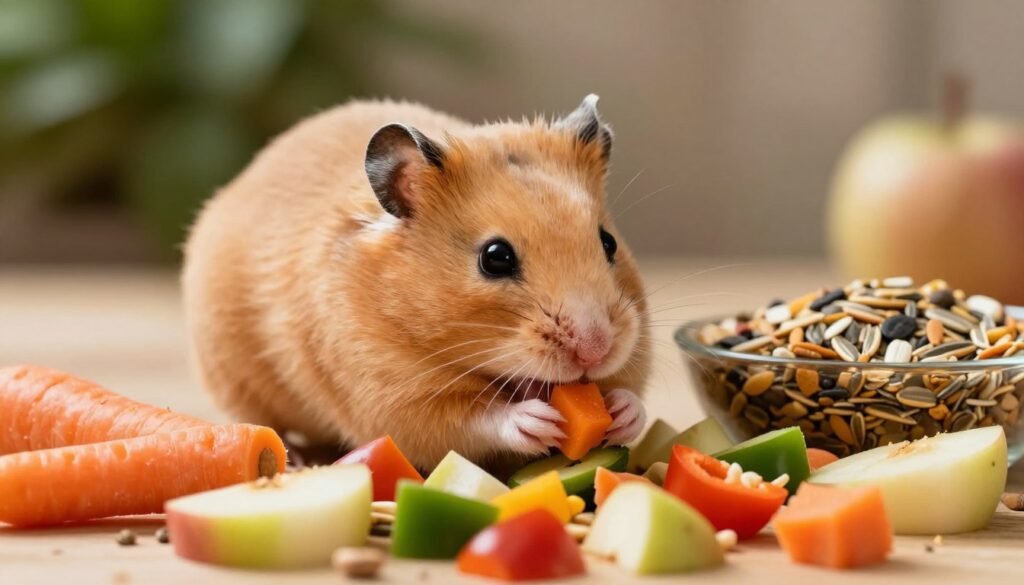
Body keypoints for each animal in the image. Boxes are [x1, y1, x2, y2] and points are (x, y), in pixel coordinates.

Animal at [181, 95, 651, 470]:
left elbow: (631, 392)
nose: (596, 349)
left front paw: (623, 412)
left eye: (608, 242)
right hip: (234, 376)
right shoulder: (390, 395)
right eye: (495, 258)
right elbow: (469, 420)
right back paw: (293, 459)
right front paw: (536, 420)